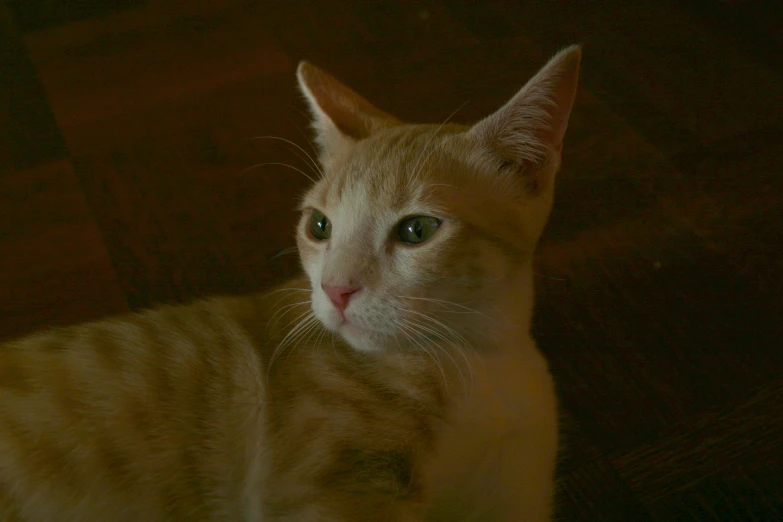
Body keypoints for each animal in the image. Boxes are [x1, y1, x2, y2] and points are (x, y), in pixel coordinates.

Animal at [0, 45, 580, 520]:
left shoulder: (517, 496)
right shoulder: (319, 489)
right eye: (319, 226)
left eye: (417, 230)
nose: (335, 290)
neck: (481, 361)